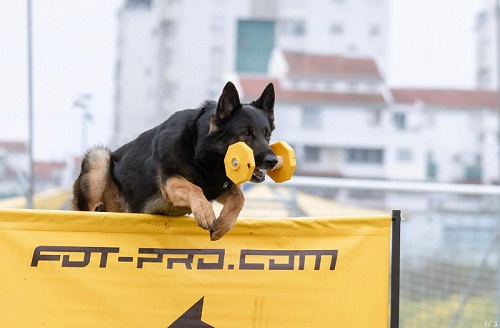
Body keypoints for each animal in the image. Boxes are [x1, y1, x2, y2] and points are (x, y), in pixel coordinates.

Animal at [71, 81, 278, 241]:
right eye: (246, 133)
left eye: (267, 134)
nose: (273, 161)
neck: (200, 151)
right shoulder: (170, 182)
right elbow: (194, 188)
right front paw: (205, 212)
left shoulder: (219, 186)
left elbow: (239, 198)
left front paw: (223, 224)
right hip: (98, 158)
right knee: (83, 211)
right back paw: (97, 210)